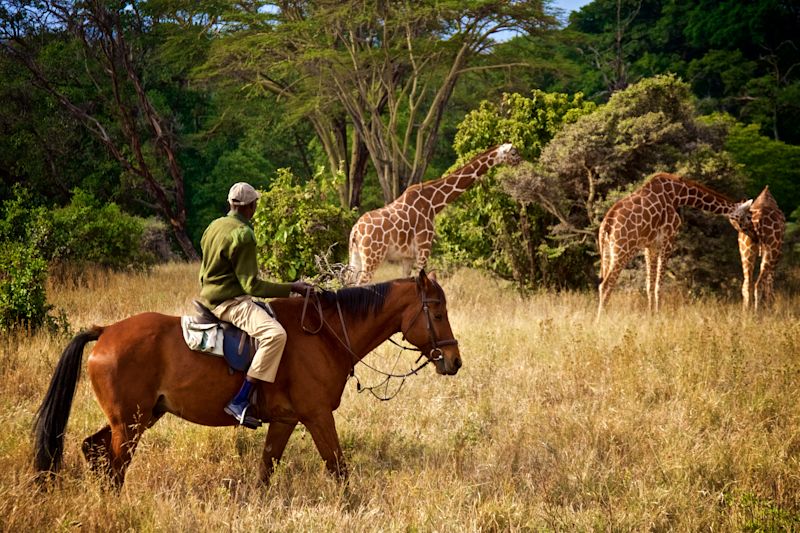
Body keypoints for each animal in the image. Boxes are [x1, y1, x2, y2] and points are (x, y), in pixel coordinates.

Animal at [34, 270, 460, 486]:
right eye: (437, 312)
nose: (454, 361)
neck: (325, 334)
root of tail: (105, 331)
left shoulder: (287, 420)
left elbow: (266, 469)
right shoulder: (318, 415)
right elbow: (338, 468)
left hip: (139, 417)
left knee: (94, 449)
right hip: (130, 424)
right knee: (115, 465)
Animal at [346, 141, 520, 282]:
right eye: (514, 153)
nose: (521, 161)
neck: (433, 203)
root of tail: (355, 231)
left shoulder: (407, 257)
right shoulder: (424, 249)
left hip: (355, 256)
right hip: (373, 257)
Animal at [596, 172, 752, 316]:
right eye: (749, 216)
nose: (752, 232)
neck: (680, 194)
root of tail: (606, 224)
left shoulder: (651, 245)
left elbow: (649, 284)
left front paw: (651, 315)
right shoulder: (668, 238)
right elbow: (659, 285)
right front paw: (658, 315)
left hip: (607, 251)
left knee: (603, 283)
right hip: (623, 250)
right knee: (605, 284)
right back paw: (601, 319)